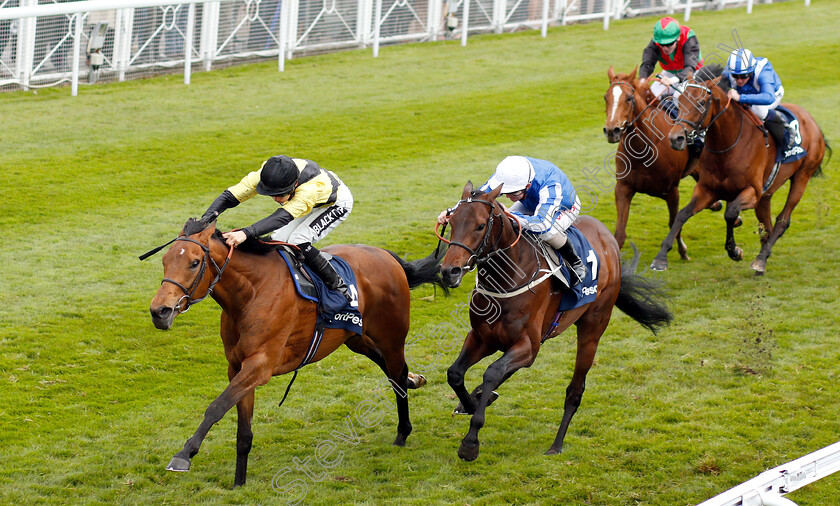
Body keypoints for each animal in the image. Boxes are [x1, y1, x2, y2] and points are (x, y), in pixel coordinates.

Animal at [146, 217, 446, 486]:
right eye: (165, 261)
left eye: (194, 262)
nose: (159, 312)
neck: (251, 293)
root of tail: (387, 256)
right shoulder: (238, 367)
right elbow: (243, 431)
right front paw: (239, 483)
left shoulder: (260, 365)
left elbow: (216, 407)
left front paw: (183, 455)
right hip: (356, 338)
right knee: (392, 369)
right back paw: (414, 381)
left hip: (391, 336)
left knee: (396, 375)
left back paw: (403, 432)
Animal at [652, 71, 832, 272]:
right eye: (680, 100)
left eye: (701, 102)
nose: (675, 138)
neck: (727, 146)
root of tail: (813, 122)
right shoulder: (707, 189)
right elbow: (682, 214)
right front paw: (660, 257)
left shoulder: (752, 192)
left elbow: (730, 213)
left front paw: (734, 251)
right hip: (766, 194)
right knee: (766, 226)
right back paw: (764, 256)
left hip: (802, 176)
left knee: (782, 221)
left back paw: (760, 260)